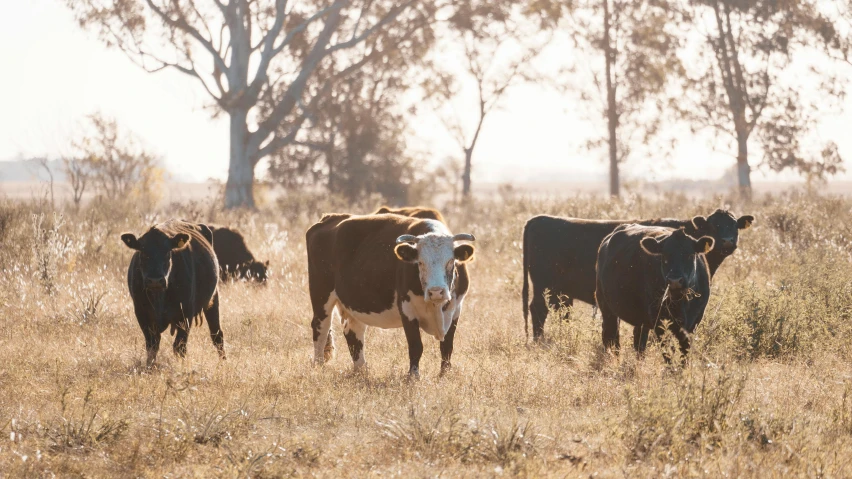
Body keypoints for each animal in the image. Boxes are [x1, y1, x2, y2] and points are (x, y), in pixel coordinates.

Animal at [122, 221, 226, 368]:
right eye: (143, 252)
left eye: (167, 253)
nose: (155, 280)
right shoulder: (141, 313)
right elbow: (152, 345)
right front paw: (149, 367)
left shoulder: (186, 313)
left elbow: (179, 347)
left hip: (213, 299)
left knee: (217, 335)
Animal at [306, 215, 476, 378]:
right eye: (420, 262)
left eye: (450, 261)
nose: (436, 291)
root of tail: (330, 217)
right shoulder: (407, 309)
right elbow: (416, 346)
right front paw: (413, 376)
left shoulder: (455, 310)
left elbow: (447, 347)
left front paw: (444, 374)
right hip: (321, 295)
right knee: (321, 329)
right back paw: (318, 367)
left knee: (353, 333)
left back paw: (362, 371)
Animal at [520, 211, 752, 342]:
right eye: (714, 225)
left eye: (734, 225)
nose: (728, 241)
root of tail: (538, 218)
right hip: (543, 286)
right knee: (538, 310)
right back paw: (539, 341)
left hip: (561, 292)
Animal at [596, 227, 716, 362]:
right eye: (664, 255)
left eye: (690, 255)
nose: (675, 281)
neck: (680, 303)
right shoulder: (659, 321)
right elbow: (668, 352)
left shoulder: (693, 322)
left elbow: (684, 352)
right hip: (606, 307)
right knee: (611, 336)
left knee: (639, 341)